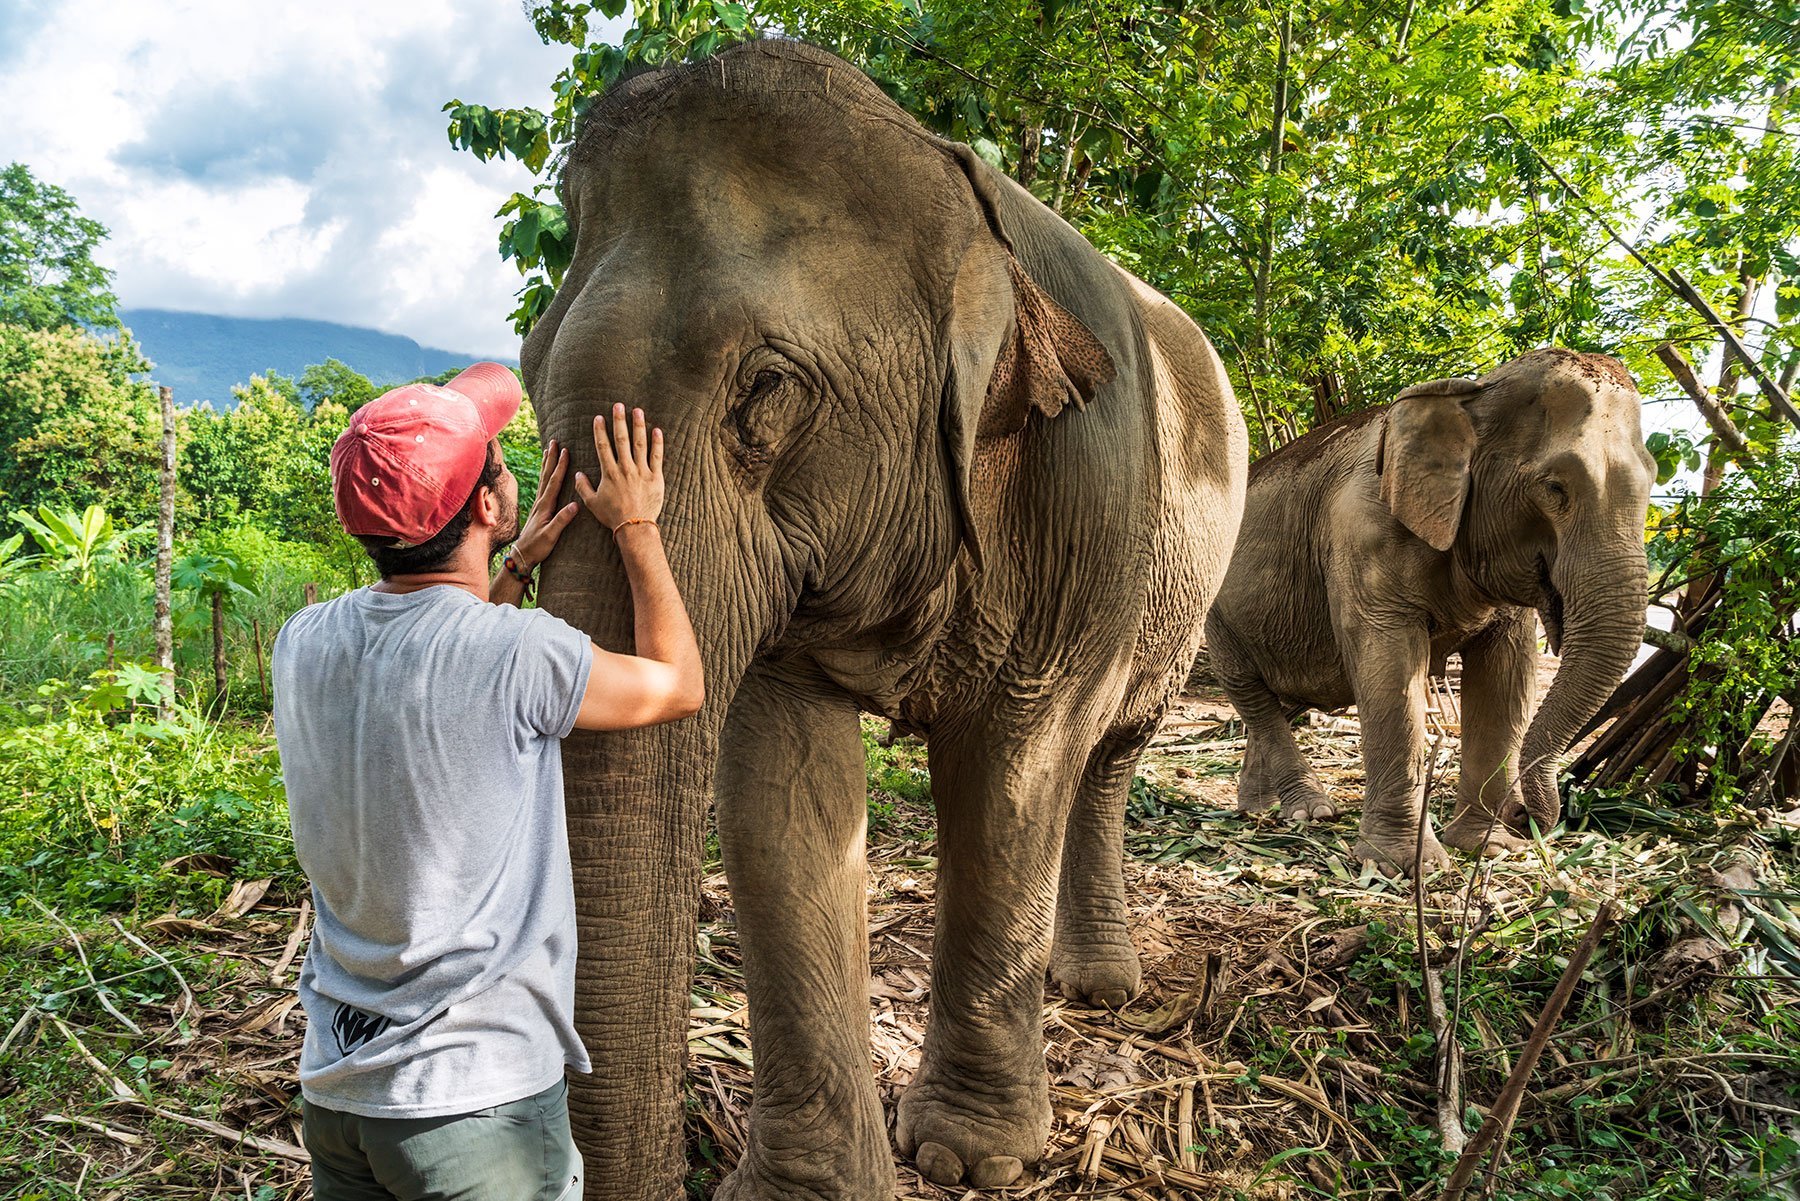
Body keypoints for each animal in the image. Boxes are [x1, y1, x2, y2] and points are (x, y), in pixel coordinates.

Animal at [525, 39, 1245, 1201]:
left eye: (766, 389)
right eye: (530, 377)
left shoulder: (1084, 492)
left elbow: (1012, 777)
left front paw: (969, 1157)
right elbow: (782, 799)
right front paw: (809, 1191)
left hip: (1174, 586)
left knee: (1106, 755)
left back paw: (1100, 988)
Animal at [1202, 347, 1648, 875]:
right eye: (1555, 488)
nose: (1525, 817)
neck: (1472, 393)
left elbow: (1505, 677)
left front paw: (1489, 847)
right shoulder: (1361, 535)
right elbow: (1391, 671)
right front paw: (1401, 865)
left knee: (1280, 701)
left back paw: (1261, 808)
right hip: (1213, 613)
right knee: (1251, 693)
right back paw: (1310, 811)